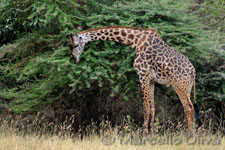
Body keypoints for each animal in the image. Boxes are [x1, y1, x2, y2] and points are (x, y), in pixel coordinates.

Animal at [65, 25, 200, 135]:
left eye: (76, 45)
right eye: (69, 46)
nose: (75, 60)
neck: (135, 41)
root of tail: (193, 70)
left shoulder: (143, 75)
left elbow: (145, 108)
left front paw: (144, 135)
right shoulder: (151, 80)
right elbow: (152, 108)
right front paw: (152, 134)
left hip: (179, 85)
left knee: (188, 107)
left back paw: (189, 136)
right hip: (187, 87)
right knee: (189, 108)